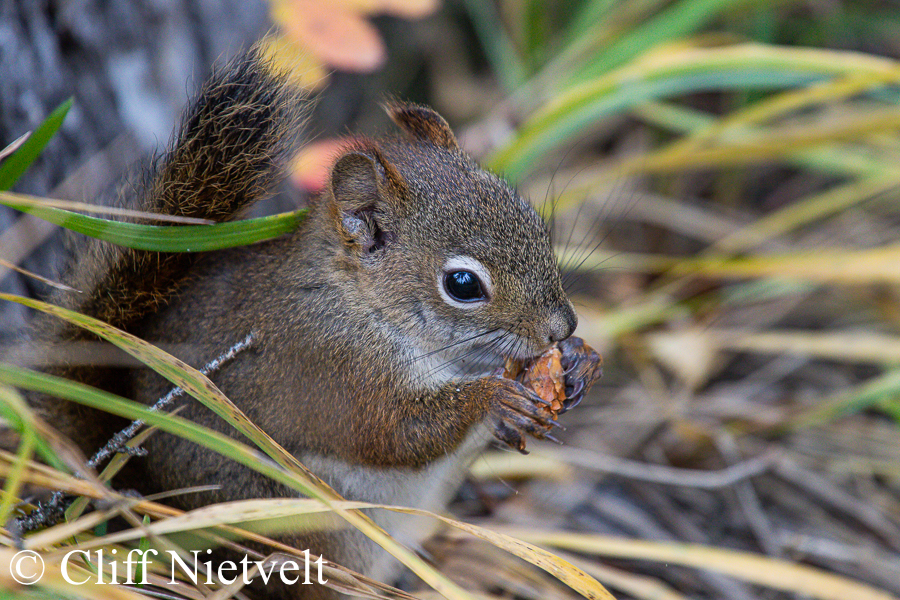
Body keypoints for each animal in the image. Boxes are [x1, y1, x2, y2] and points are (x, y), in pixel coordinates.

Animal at [26, 47, 603, 599]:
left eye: (534, 221)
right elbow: (394, 433)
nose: (561, 327)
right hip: (310, 528)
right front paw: (494, 398)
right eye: (462, 285)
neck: (364, 303)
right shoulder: (329, 362)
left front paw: (580, 362)